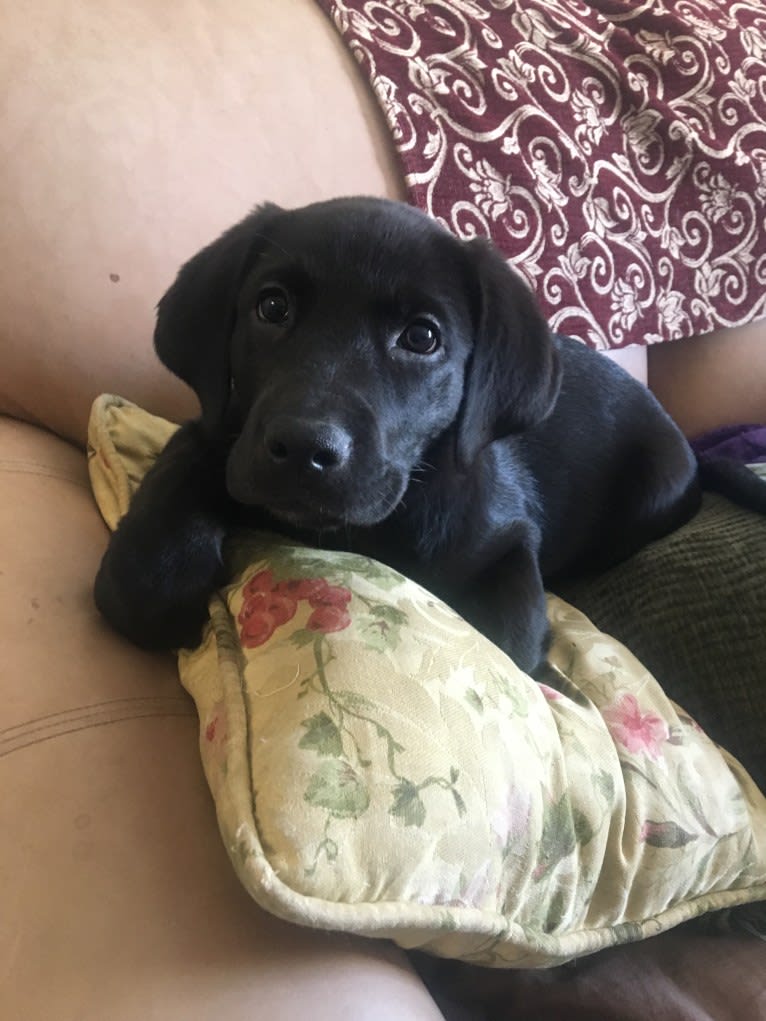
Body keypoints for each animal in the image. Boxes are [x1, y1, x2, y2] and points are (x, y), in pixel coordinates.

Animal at [94, 195, 706, 673]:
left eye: (421, 337)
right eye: (271, 307)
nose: (304, 450)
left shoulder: (510, 542)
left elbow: (509, 645)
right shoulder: (226, 430)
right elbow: (180, 469)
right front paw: (158, 571)